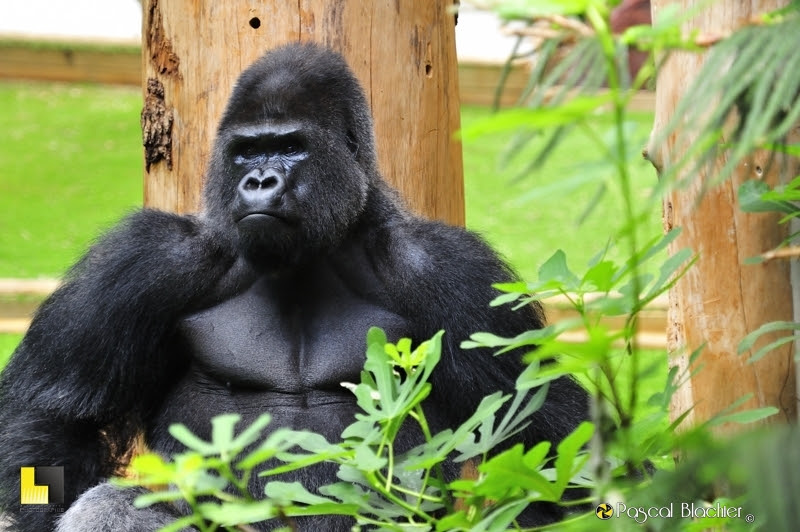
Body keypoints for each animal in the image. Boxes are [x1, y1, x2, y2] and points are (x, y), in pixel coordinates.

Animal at [0, 42, 588, 532]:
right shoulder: (146, 259)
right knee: (108, 502)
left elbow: (546, 441)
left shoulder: (456, 272)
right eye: (245, 151)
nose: (258, 181)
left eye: (290, 147)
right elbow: (48, 415)